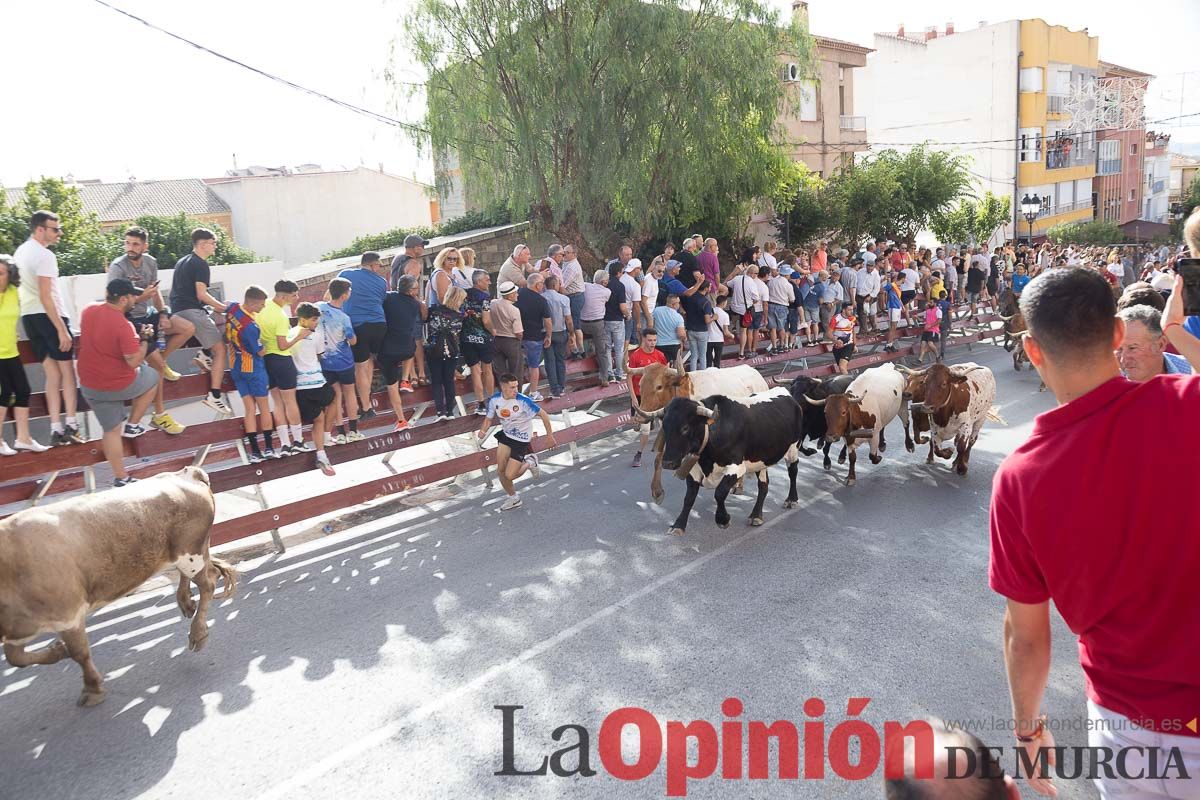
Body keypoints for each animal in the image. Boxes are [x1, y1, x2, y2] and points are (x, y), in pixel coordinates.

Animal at [0, 465, 236, 705]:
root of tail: (187, 473)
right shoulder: (20, 629)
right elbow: (15, 659)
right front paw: (57, 651)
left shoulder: (68, 616)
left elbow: (79, 653)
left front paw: (92, 688)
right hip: (182, 554)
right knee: (202, 574)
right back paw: (186, 602)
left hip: (190, 553)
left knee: (209, 582)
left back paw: (197, 633)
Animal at [628, 357, 768, 503]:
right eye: (640, 385)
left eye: (659, 386)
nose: (639, 417)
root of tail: (756, 374)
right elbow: (659, 458)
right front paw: (657, 491)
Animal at [657, 388, 806, 537]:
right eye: (664, 426)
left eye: (685, 428)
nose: (667, 463)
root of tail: (785, 392)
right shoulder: (694, 470)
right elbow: (689, 498)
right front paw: (678, 525)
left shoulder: (737, 467)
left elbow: (719, 493)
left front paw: (723, 520)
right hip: (761, 459)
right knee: (763, 485)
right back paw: (756, 516)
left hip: (793, 448)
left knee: (793, 472)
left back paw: (791, 500)